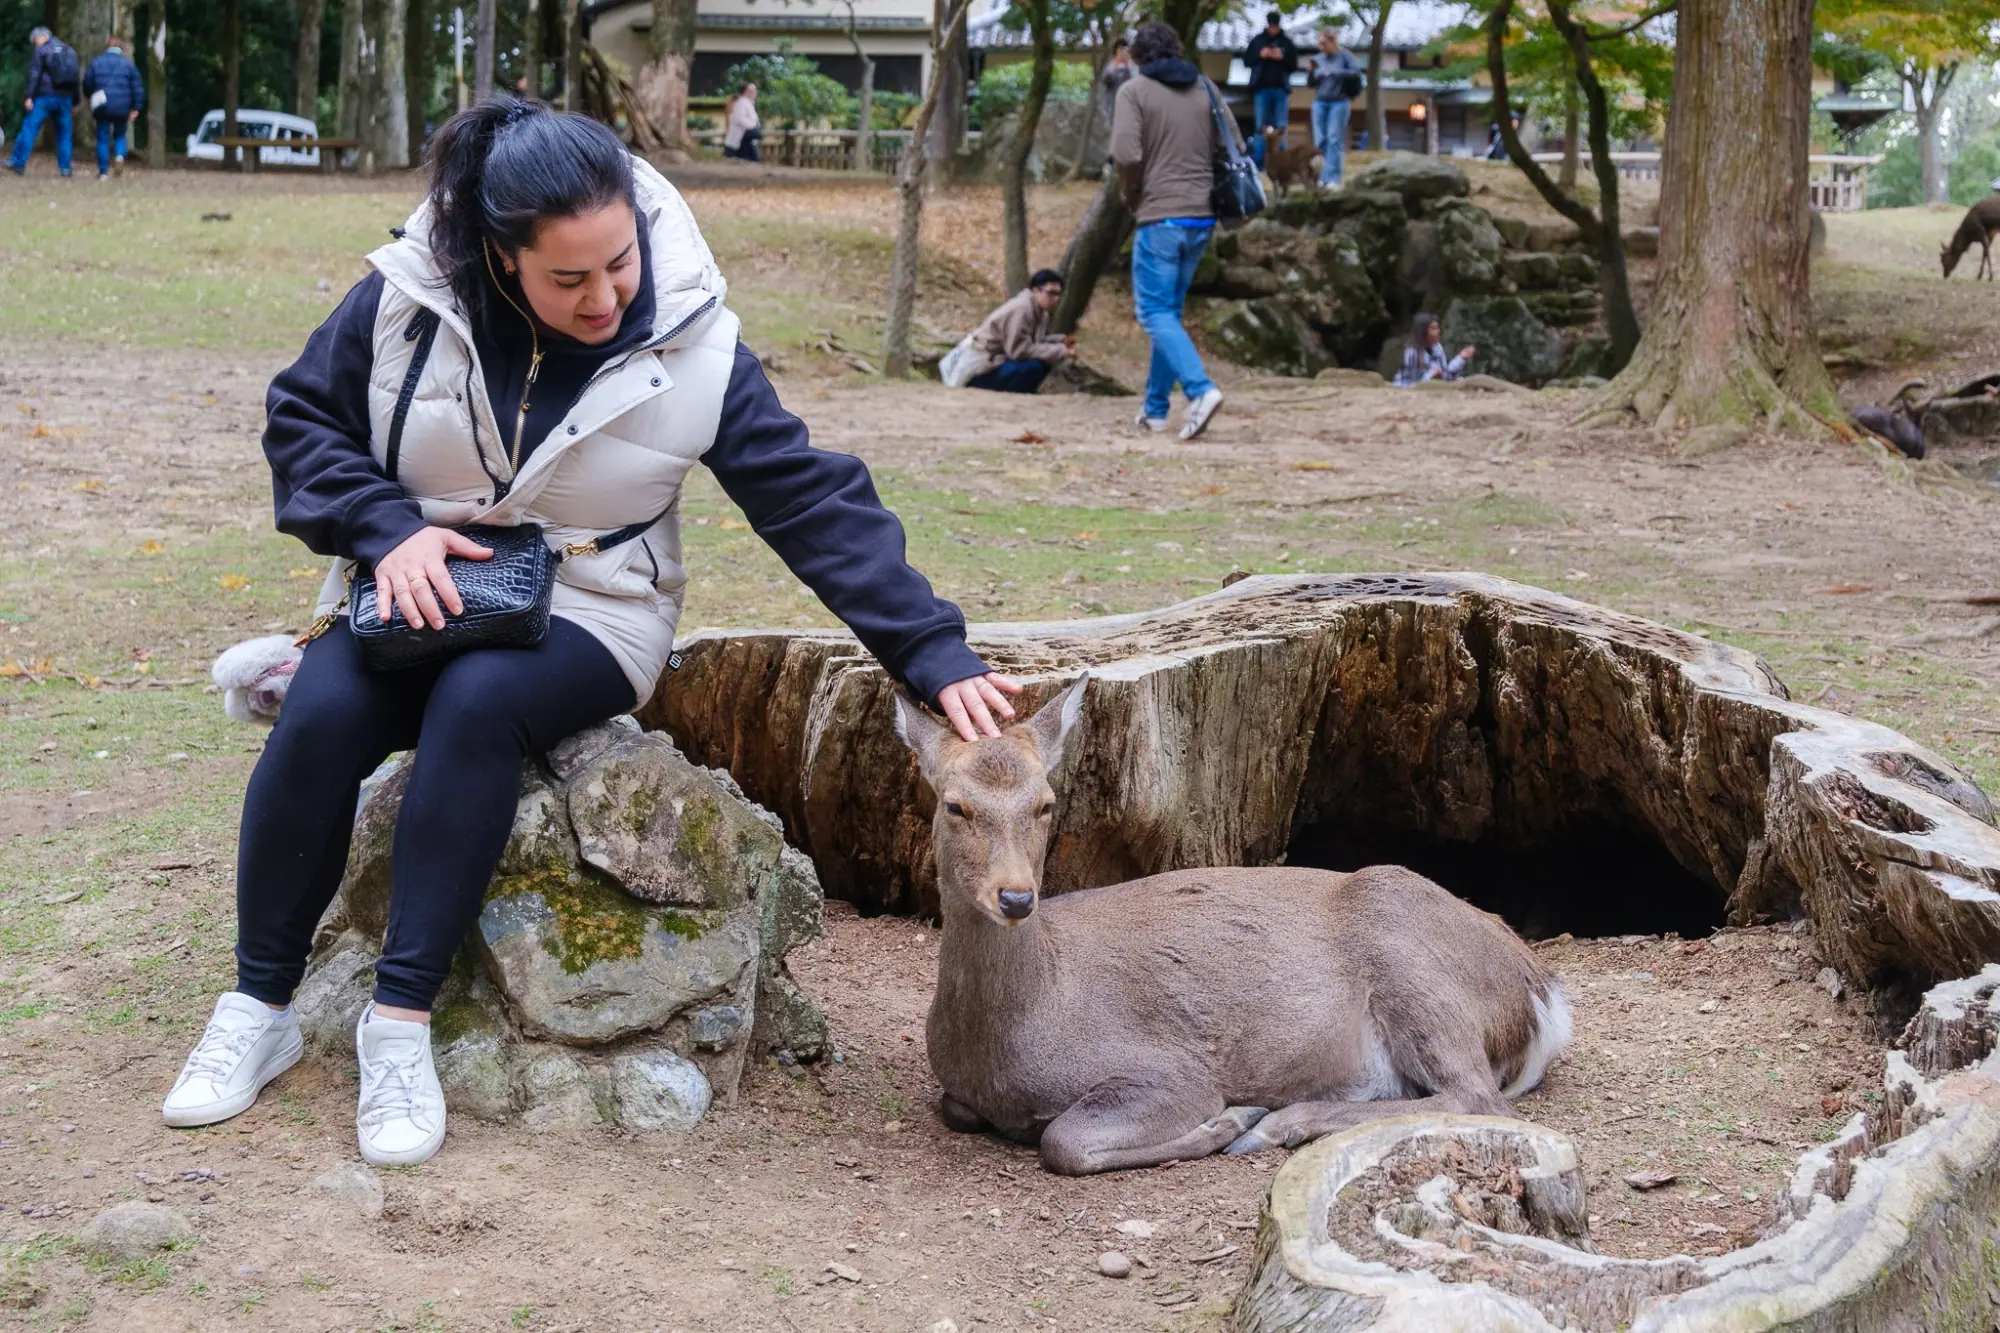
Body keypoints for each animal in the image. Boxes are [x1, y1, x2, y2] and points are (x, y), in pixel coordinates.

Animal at [893, 675, 1572, 1176]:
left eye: (1045, 804)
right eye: (954, 805)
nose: (1015, 897)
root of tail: (1544, 994)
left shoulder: (1169, 1071)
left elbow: (1064, 1142)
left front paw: (1227, 1121)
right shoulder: (962, 1092)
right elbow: (957, 1109)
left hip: (1410, 955)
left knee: (1477, 1095)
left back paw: (1272, 1124)